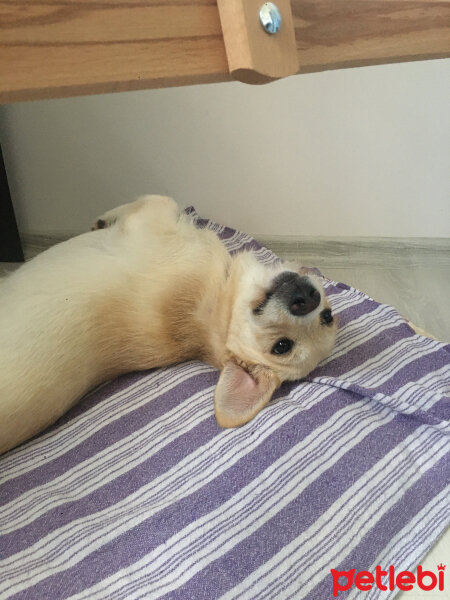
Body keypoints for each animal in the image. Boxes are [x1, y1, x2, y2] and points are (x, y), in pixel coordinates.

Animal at [0, 197, 338, 454]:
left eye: (280, 347)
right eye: (328, 315)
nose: (308, 299)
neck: (213, 307)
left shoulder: (148, 221)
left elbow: (159, 199)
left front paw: (104, 218)